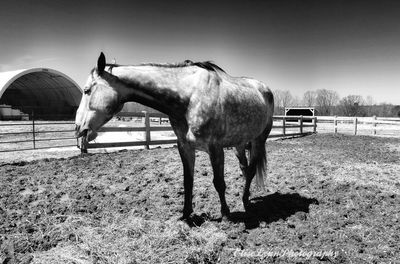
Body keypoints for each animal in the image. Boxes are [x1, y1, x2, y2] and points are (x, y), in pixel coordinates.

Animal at [75, 52, 276, 220]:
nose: (78, 128)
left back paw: (245, 200)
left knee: (251, 170)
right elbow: (188, 181)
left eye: (86, 90)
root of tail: (265, 89)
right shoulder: (185, 147)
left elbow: (219, 182)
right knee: (244, 169)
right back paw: (246, 198)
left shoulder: (215, 148)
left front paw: (225, 213)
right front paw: (186, 214)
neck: (189, 97)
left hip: (258, 140)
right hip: (239, 144)